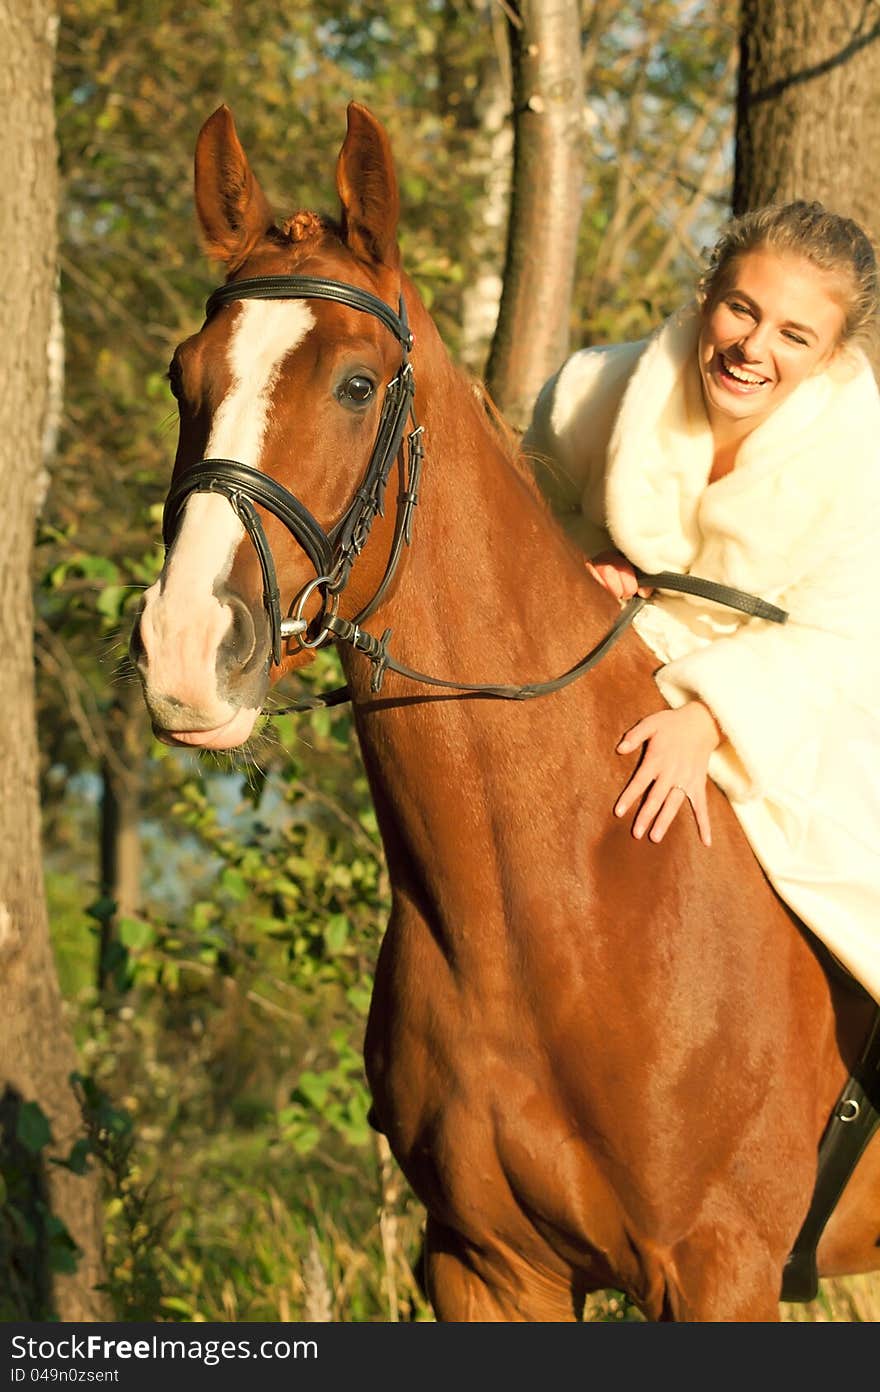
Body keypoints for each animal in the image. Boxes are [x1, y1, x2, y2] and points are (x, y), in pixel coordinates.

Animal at [130, 103, 880, 1319]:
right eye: (180, 374)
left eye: (355, 385)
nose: (187, 651)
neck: (558, 907)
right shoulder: (483, 1264)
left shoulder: (720, 1269)